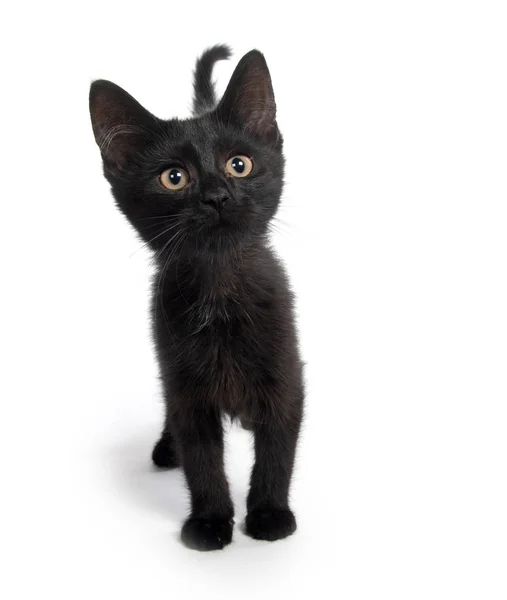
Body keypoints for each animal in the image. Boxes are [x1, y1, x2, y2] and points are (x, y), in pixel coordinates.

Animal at [90, 45, 306, 552]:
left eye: (239, 164)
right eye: (174, 177)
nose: (217, 196)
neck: (220, 290)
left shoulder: (286, 376)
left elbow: (277, 449)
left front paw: (269, 514)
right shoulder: (185, 386)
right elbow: (202, 460)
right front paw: (209, 522)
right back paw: (167, 449)